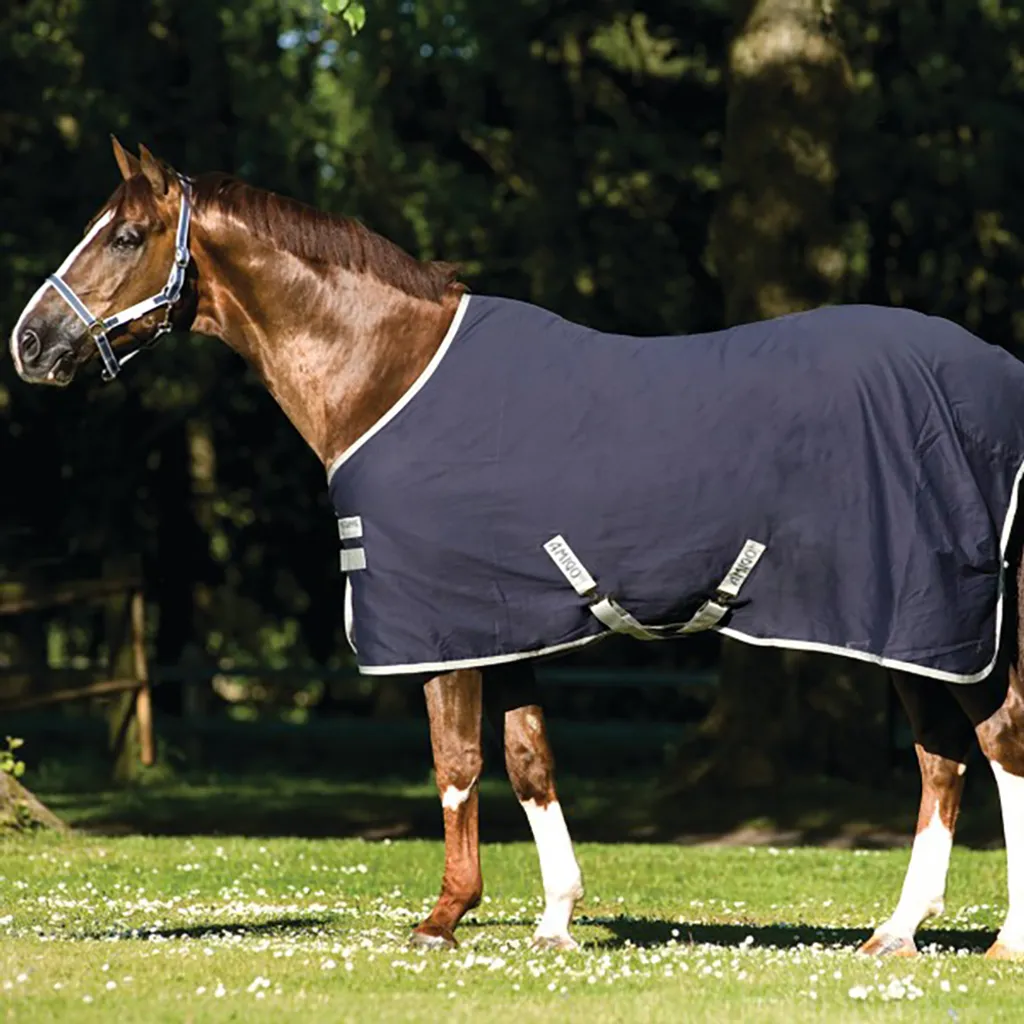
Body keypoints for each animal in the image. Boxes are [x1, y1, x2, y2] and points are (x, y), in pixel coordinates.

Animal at [10, 137, 1024, 961]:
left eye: (126, 236)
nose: (28, 342)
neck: (390, 371)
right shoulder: (506, 626)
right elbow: (530, 761)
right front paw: (555, 921)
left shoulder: (440, 629)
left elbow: (456, 765)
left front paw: (443, 918)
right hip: (925, 630)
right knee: (946, 759)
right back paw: (896, 932)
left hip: (929, 620)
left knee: (990, 745)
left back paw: (999, 939)